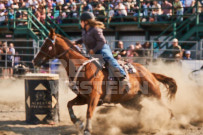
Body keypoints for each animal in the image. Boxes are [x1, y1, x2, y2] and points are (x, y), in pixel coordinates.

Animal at [32, 29, 177, 135]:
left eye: (47, 45)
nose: (34, 60)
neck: (83, 67)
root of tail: (149, 73)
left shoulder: (94, 97)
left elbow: (89, 112)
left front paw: (87, 130)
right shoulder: (83, 97)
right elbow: (69, 104)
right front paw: (78, 123)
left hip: (154, 96)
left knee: (168, 110)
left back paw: (168, 125)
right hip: (129, 101)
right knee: (141, 109)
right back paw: (137, 126)